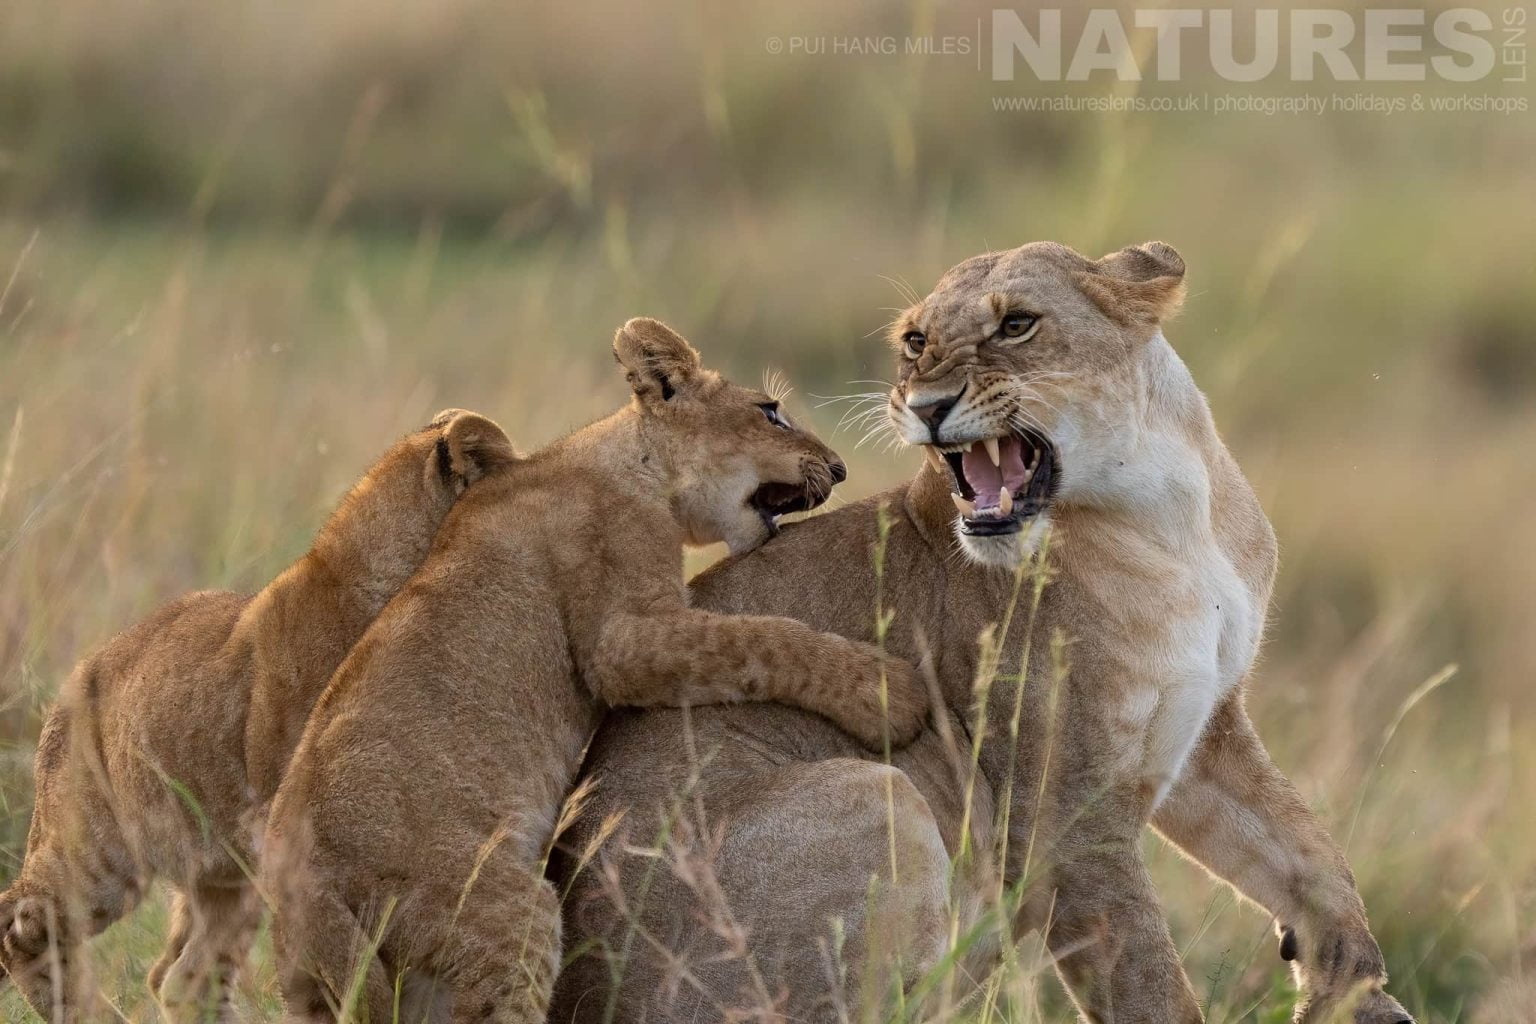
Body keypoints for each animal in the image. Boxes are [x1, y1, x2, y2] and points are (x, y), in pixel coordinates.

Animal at [0, 408, 515, 1024]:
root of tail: (72, 684)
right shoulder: (299, 828)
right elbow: (348, 962)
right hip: (97, 856)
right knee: (20, 924)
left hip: (221, 876)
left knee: (180, 977)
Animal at [260, 318, 928, 1024]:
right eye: (770, 411)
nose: (840, 467)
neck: (626, 463)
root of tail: (304, 889)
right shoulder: (624, 641)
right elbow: (759, 640)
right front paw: (888, 694)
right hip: (505, 912)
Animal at [551, 244, 1414, 1024]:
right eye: (915, 340)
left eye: (1018, 325)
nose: (927, 405)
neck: (1165, 518)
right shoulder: (1061, 814)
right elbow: (1149, 980)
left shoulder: (1204, 729)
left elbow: (1308, 854)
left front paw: (1351, 985)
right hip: (875, 796)